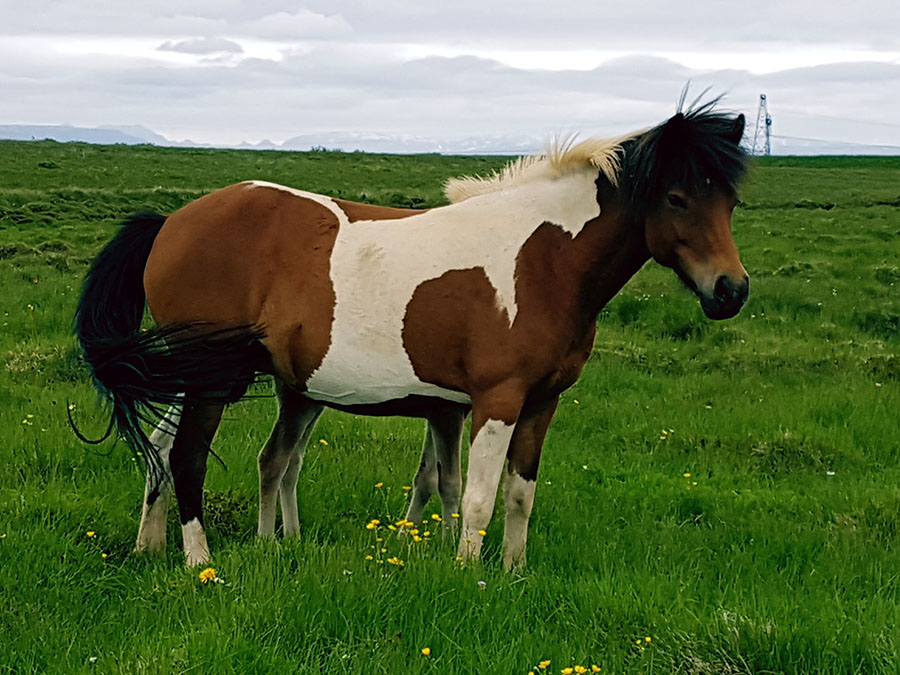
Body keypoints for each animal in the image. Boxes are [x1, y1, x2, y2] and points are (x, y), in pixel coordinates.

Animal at [75, 104, 752, 572]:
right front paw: (468, 576)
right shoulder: (495, 401)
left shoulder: (539, 404)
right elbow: (474, 498)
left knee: (165, 450)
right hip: (212, 378)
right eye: (676, 197)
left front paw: (514, 574)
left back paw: (155, 546)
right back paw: (201, 563)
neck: (542, 261)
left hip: (198, 377)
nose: (730, 291)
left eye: (730, 200)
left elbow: (518, 496)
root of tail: (172, 221)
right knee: (187, 458)